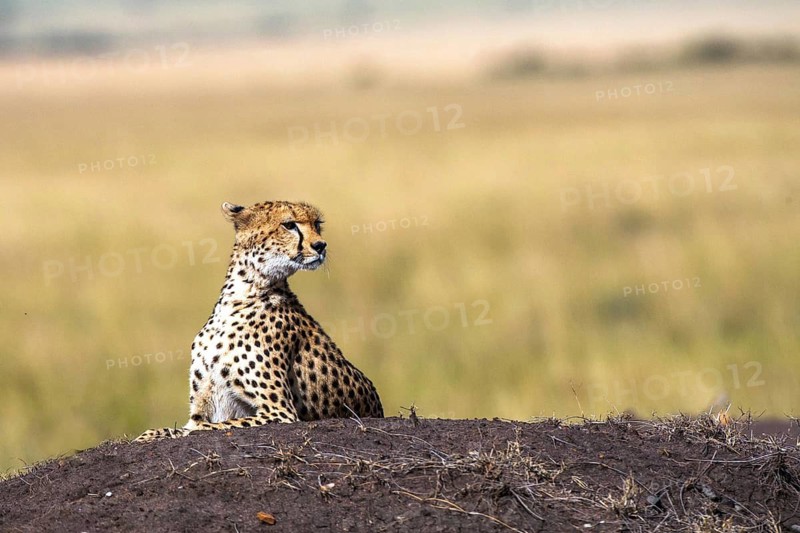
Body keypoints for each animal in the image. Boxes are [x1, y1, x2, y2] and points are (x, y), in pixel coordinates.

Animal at [134, 200, 383, 442]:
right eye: (289, 225)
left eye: (317, 224)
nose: (321, 246)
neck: (243, 293)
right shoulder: (203, 409)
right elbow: (171, 429)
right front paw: (148, 436)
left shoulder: (280, 412)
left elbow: (205, 428)